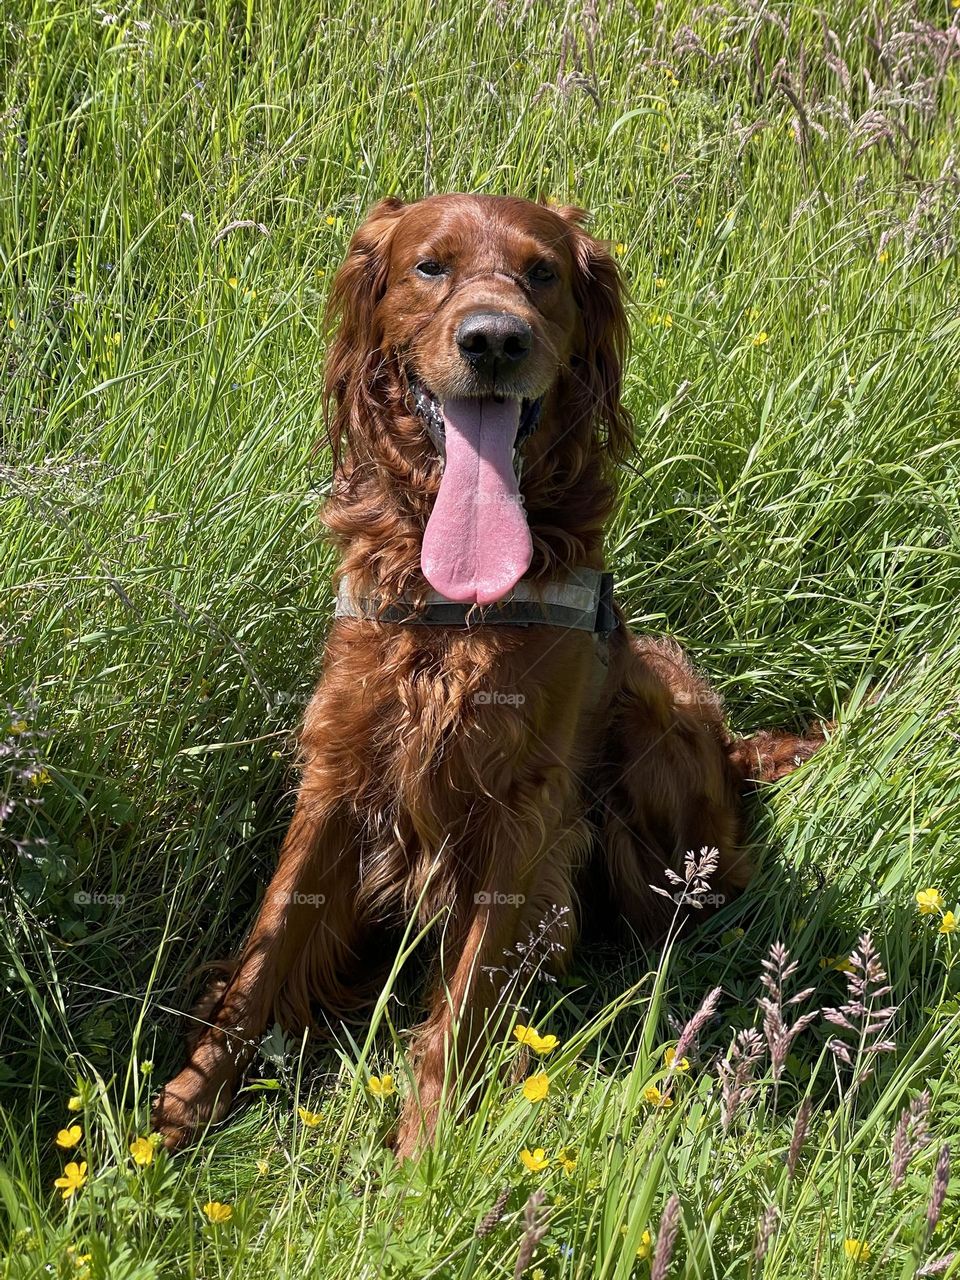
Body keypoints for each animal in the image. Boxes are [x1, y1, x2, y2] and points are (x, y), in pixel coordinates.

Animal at [152, 192, 829, 1162]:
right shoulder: (337, 770)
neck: (453, 592)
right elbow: (266, 949)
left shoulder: (524, 805)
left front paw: (425, 1155)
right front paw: (188, 1102)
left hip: (653, 711)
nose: (494, 341)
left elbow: (468, 988)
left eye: (542, 272)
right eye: (430, 266)